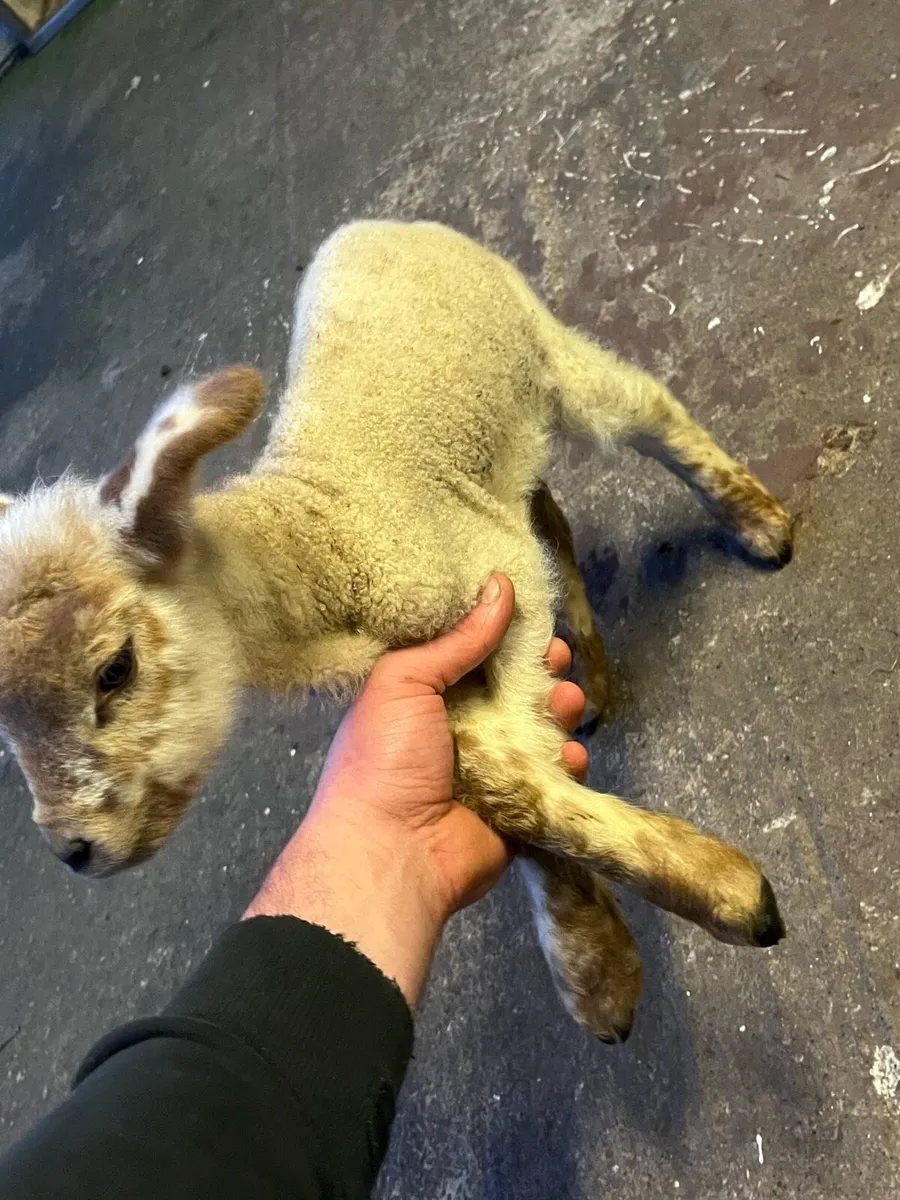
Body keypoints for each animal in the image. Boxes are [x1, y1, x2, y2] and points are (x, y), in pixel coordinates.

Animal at [0, 220, 791, 1041]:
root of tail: (381, 226)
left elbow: (518, 782)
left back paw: (760, 525)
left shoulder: (495, 585)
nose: (73, 850)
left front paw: (727, 901)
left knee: (643, 406)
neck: (323, 539)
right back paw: (596, 675)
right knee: (545, 512)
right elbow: (486, 777)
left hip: (536, 342)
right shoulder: (418, 666)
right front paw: (601, 961)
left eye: (113, 669)